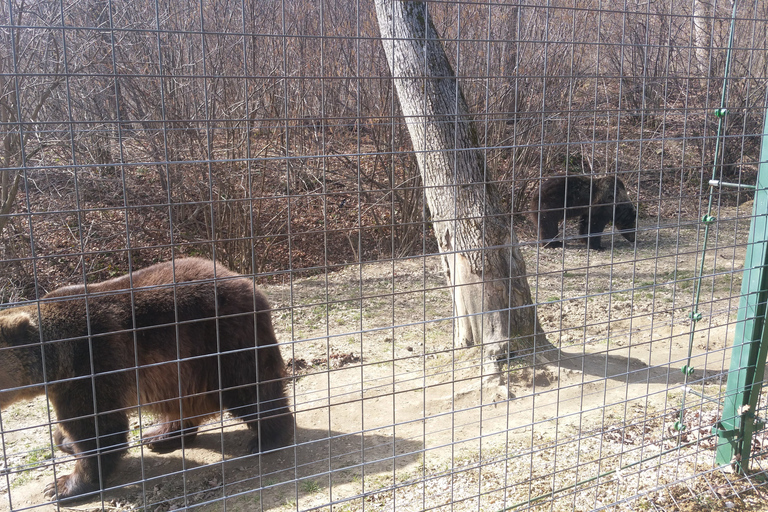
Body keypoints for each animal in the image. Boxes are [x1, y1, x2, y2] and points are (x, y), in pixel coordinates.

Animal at [0, 258, 294, 498]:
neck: (57, 361)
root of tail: (247, 284)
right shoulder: (67, 384)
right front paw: (65, 443)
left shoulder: (93, 364)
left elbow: (99, 428)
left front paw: (62, 485)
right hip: (186, 363)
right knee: (182, 400)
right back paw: (160, 435)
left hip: (224, 339)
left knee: (250, 389)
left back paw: (267, 439)